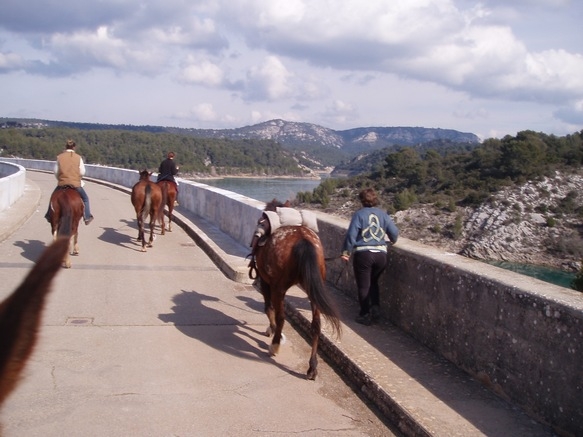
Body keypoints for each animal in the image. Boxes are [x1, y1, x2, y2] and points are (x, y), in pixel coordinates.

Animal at [248, 198, 342, 378]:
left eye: (261, 220)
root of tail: (303, 241)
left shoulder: (265, 281)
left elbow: (268, 308)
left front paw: (273, 332)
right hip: (313, 290)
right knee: (316, 325)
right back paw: (312, 367)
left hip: (278, 288)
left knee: (281, 316)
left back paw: (275, 346)